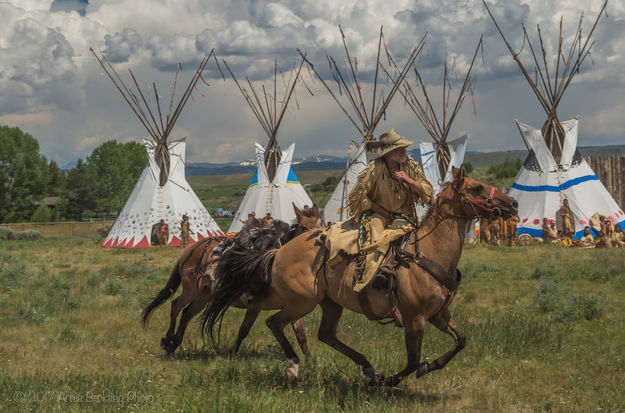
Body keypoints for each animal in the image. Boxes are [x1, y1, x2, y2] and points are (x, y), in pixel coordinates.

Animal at [142, 203, 322, 354]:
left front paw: (308, 361)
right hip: (191, 289)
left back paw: (174, 344)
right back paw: (168, 339)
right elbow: (243, 330)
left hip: (204, 294)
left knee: (187, 313)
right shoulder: (256, 303)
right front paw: (232, 356)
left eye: (321, 227)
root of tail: (190, 248)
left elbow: (301, 336)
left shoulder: (293, 306)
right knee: (176, 306)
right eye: (304, 227)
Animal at [201, 166, 516, 384]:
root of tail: (278, 252)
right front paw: (389, 381)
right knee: (274, 323)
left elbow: (460, 341)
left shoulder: (439, 314)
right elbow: (412, 361)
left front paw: (428, 367)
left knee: (325, 334)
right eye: (477, 187)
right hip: (302, 301)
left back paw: (365, 366)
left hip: (328, 303)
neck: (427, 253)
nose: (512, 203)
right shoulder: (415, 319)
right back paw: (293, 366)